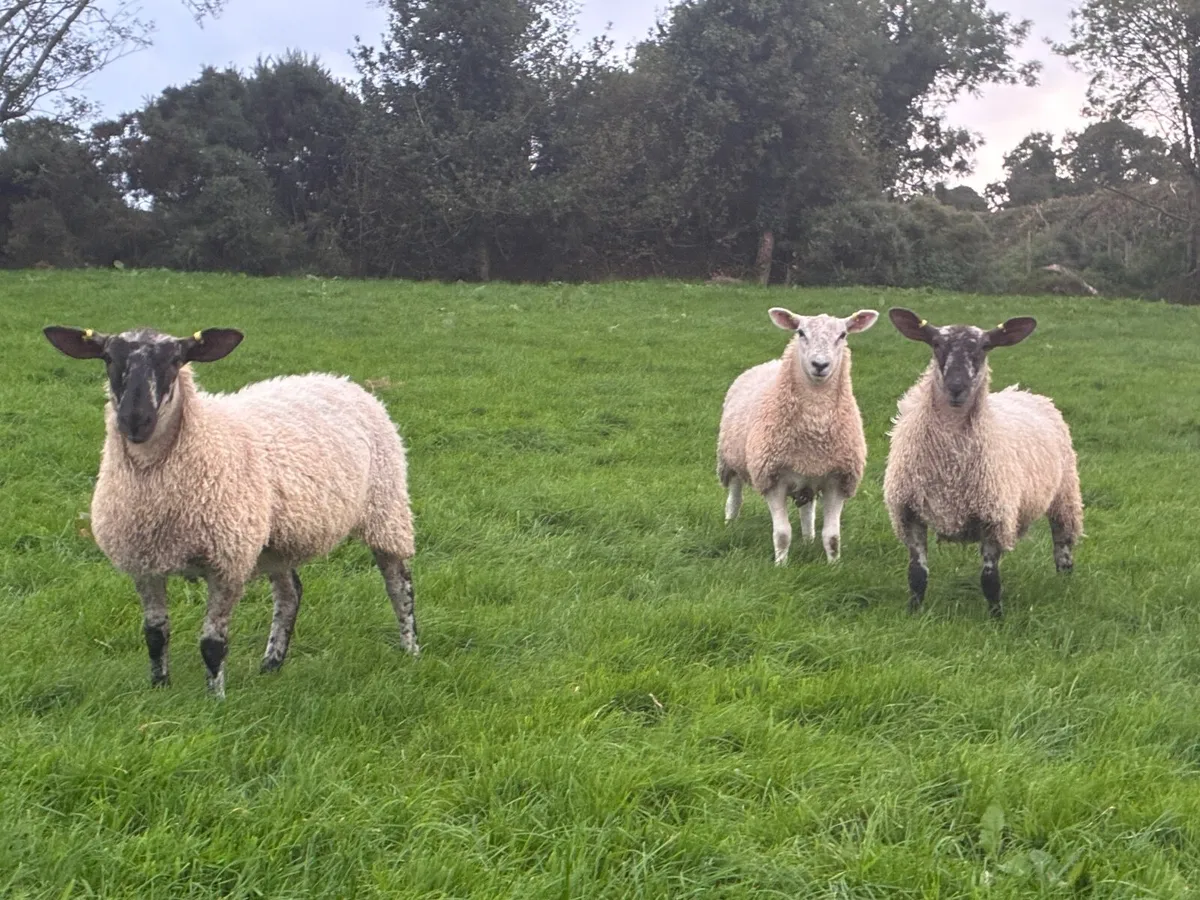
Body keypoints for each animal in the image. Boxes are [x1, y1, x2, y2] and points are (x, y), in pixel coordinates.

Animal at [43, 325, 418, 697]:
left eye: (176, 360)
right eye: (107, 357)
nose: (135, 421)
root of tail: (339, 379)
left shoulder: (227, 563)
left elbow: (212, 644)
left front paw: (215, 700)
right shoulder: (144, 563)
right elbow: (154, 634)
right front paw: (159, 689)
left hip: (387, 508)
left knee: (399, 584)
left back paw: (411, 650)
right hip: (275, 539)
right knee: (290, 593)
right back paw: (271, 665)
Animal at [717, 307, 879, 564]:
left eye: (843, 335)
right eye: (800, 332)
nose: (820, 365)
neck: (815, 427)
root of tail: (771, 362)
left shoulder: (838, 480)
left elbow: (832, 536)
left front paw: (834, 566)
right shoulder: (772, 478)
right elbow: (783, 533)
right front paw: (780, 565)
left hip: (807, 478)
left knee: (807, 510)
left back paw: (808, 538)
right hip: (729, 459)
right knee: (735, 495)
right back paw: (730, 523)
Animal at [881, 308, 1083, 618]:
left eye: (985, 346)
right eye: (936, 344)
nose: (956, 387)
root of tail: (1023, 392)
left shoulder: (994, 517)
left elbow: (990, 579)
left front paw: (997, 617)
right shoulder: (908, 512)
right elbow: (917, 574)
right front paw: (913, 612)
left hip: (1065, 494)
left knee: (1063, 543)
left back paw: (1064, 582)